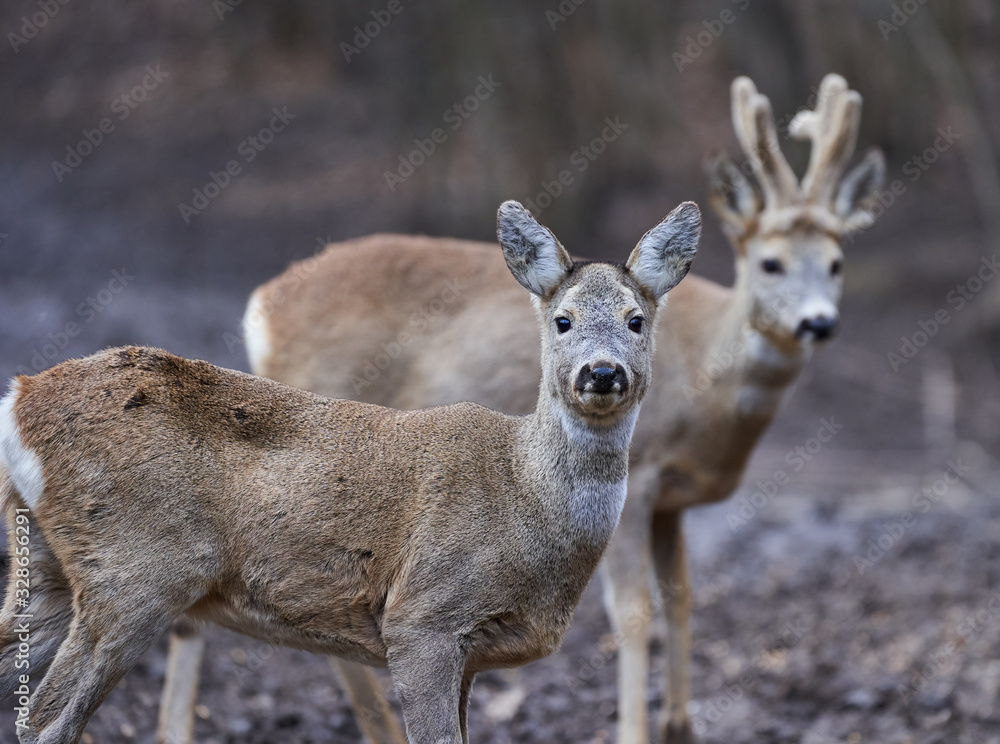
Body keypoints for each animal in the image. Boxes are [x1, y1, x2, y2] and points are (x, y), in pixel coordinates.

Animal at [0, 201, 704, 740]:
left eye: (637, 320)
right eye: (562, 320)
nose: (602, 373)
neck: (523, 496)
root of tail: (21, 400)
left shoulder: (471, 654)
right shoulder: (423, 615)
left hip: (55, 569)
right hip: (134, 568)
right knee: (48, 719)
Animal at [156, 72, 884, 744]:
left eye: (838, 262)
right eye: (770, 263)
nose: (818, 323)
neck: (712, 388)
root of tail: (261, 305)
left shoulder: (673, 501)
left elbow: (682, 599)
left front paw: (682, 727)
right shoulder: (645, 475)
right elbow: (634, 612)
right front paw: (636, 731)